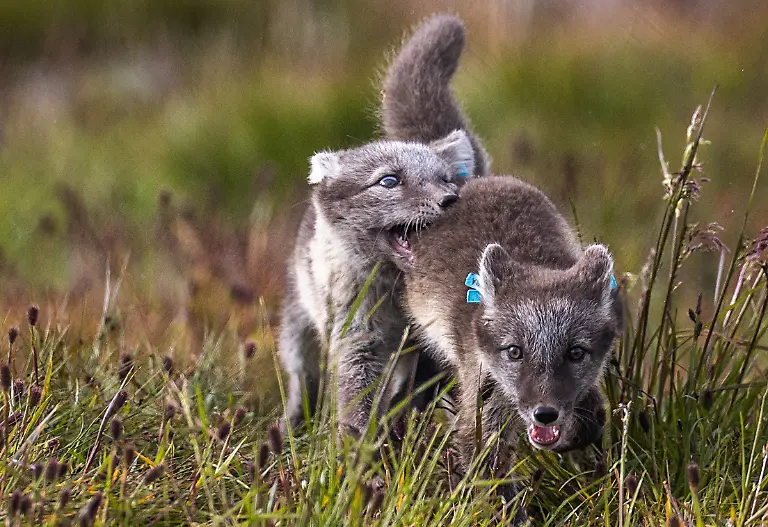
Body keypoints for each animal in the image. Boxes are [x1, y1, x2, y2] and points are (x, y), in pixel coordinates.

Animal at [380, 14, 620, 521]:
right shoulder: (481, 405)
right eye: (514, 352)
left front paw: (570, 437)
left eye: (576, 352)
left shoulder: (584, 391)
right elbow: (490, 481)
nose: (545, 412)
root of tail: (470, 181)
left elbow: (593, 418)